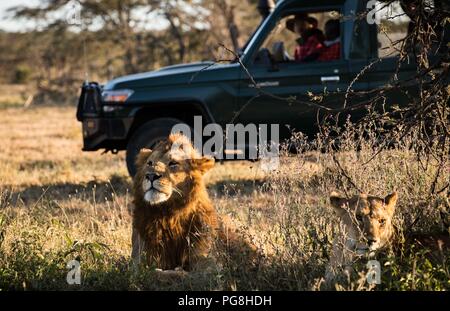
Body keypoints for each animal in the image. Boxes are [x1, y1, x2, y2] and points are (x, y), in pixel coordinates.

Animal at [131, 133, 219, 272]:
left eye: (173, 163)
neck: (168, 215)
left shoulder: (207, 264)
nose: (151, 176)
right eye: (149, 163)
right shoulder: (138, 262)